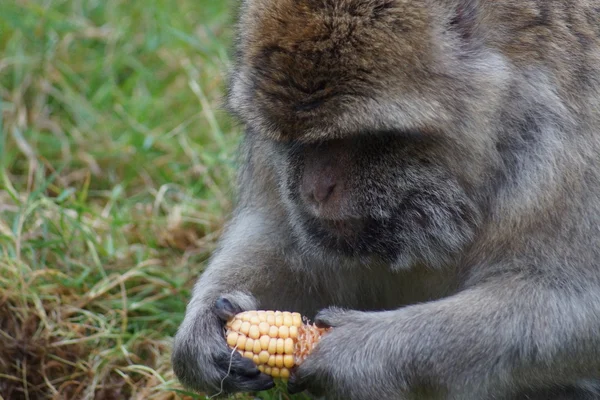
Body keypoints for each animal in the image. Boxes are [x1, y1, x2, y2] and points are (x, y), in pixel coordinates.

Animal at [171, 0, 600, 398]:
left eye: (364, 137)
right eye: (297, 139)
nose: (313, 189)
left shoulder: (567, 158)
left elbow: (577, 309)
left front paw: (355, 351)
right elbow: (280, 238)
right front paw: (201, 333)